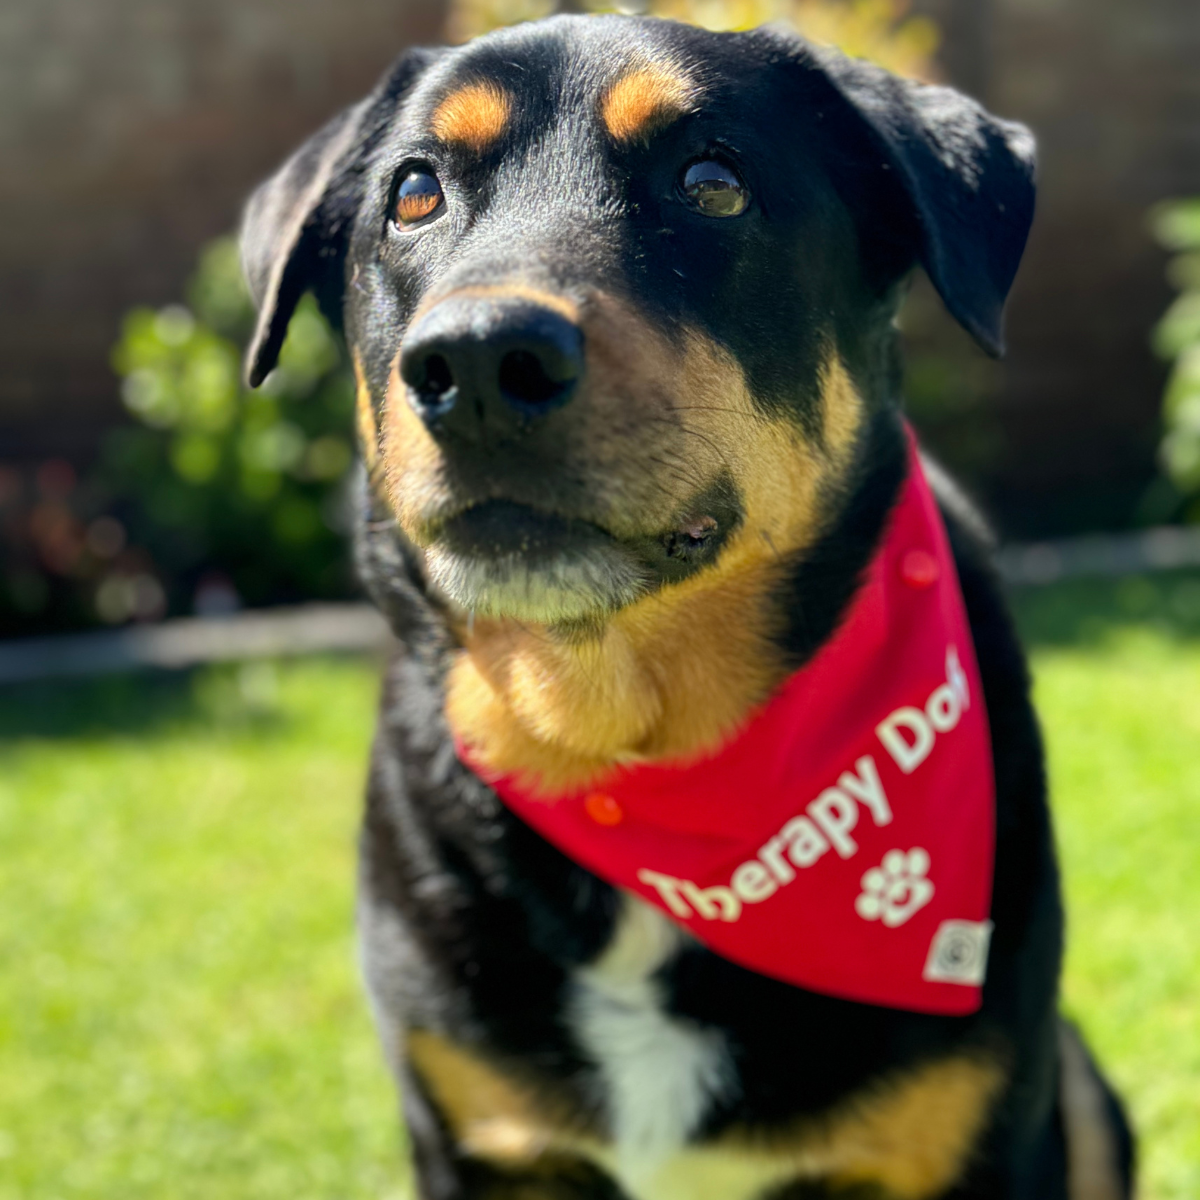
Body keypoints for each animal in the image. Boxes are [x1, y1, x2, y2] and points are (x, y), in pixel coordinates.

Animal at [241, 11, 1132, 1200]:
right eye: (414, 192)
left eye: (711, 181)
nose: (476, 359)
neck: (637, 764)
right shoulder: (473, 1138)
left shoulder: (981, 1141)